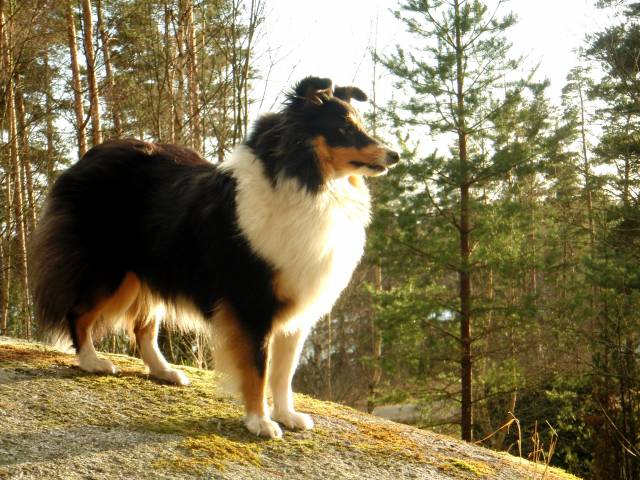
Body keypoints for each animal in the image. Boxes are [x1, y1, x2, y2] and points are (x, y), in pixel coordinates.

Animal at [32, 76, 400, 438]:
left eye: (360, 124)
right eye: (344, 129)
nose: (395, 155)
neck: (306, 182)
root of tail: (86, 158)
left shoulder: (296, 305)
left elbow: (284, 373)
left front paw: (287, 415)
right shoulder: (253, 304)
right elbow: (257, 369)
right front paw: (260, 422)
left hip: (149, 272)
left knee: (143, 327)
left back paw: (165, 371)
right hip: (110, 270)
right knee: (79, 312)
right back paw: (92, 361)